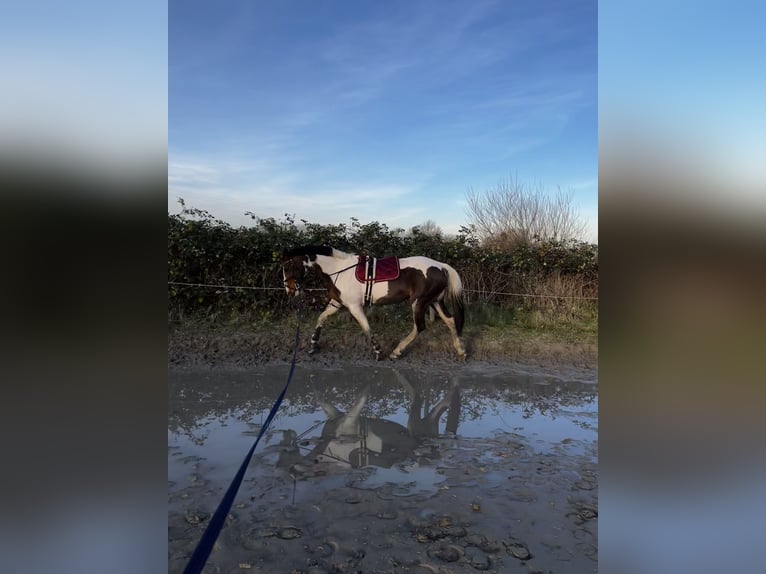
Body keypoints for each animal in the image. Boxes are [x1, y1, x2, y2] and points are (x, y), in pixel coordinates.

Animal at [284, 246, 468, 362]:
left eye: (287, 267)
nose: (289, 290)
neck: (339, 269)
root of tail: (441, 266)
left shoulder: (354, 307)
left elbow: (367, 328)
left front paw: (378, 352)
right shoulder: (336, 303)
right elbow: (321, 318)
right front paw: (313, 344)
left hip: (418, 302)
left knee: (420, 326)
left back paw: (396, 352)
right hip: (435, 301)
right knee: (450, 321)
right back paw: (461, 351)